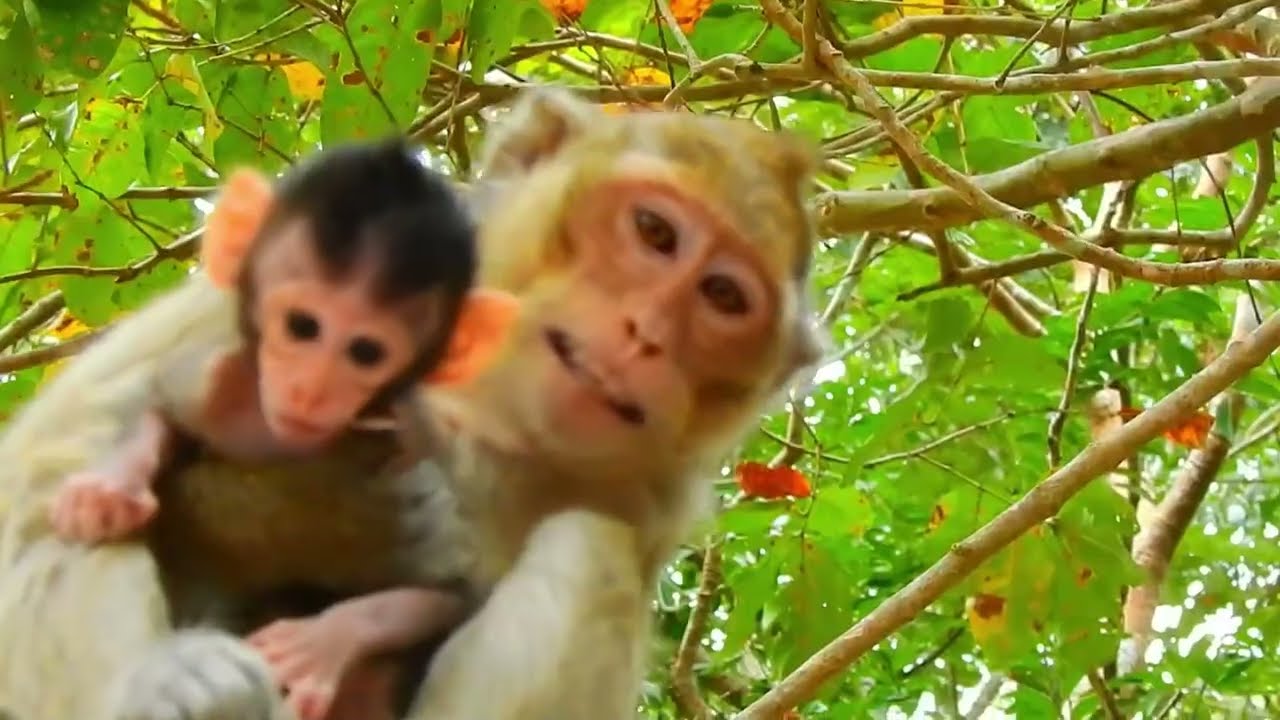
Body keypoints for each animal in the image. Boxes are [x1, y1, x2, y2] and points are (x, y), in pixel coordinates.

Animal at [0, 87, 826, 720]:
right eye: (654, 231)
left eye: (723, 296)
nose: (646, 333)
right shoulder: (223, 319)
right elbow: (46, 481)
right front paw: (163, 674)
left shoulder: (652, 502)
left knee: (590, 549)